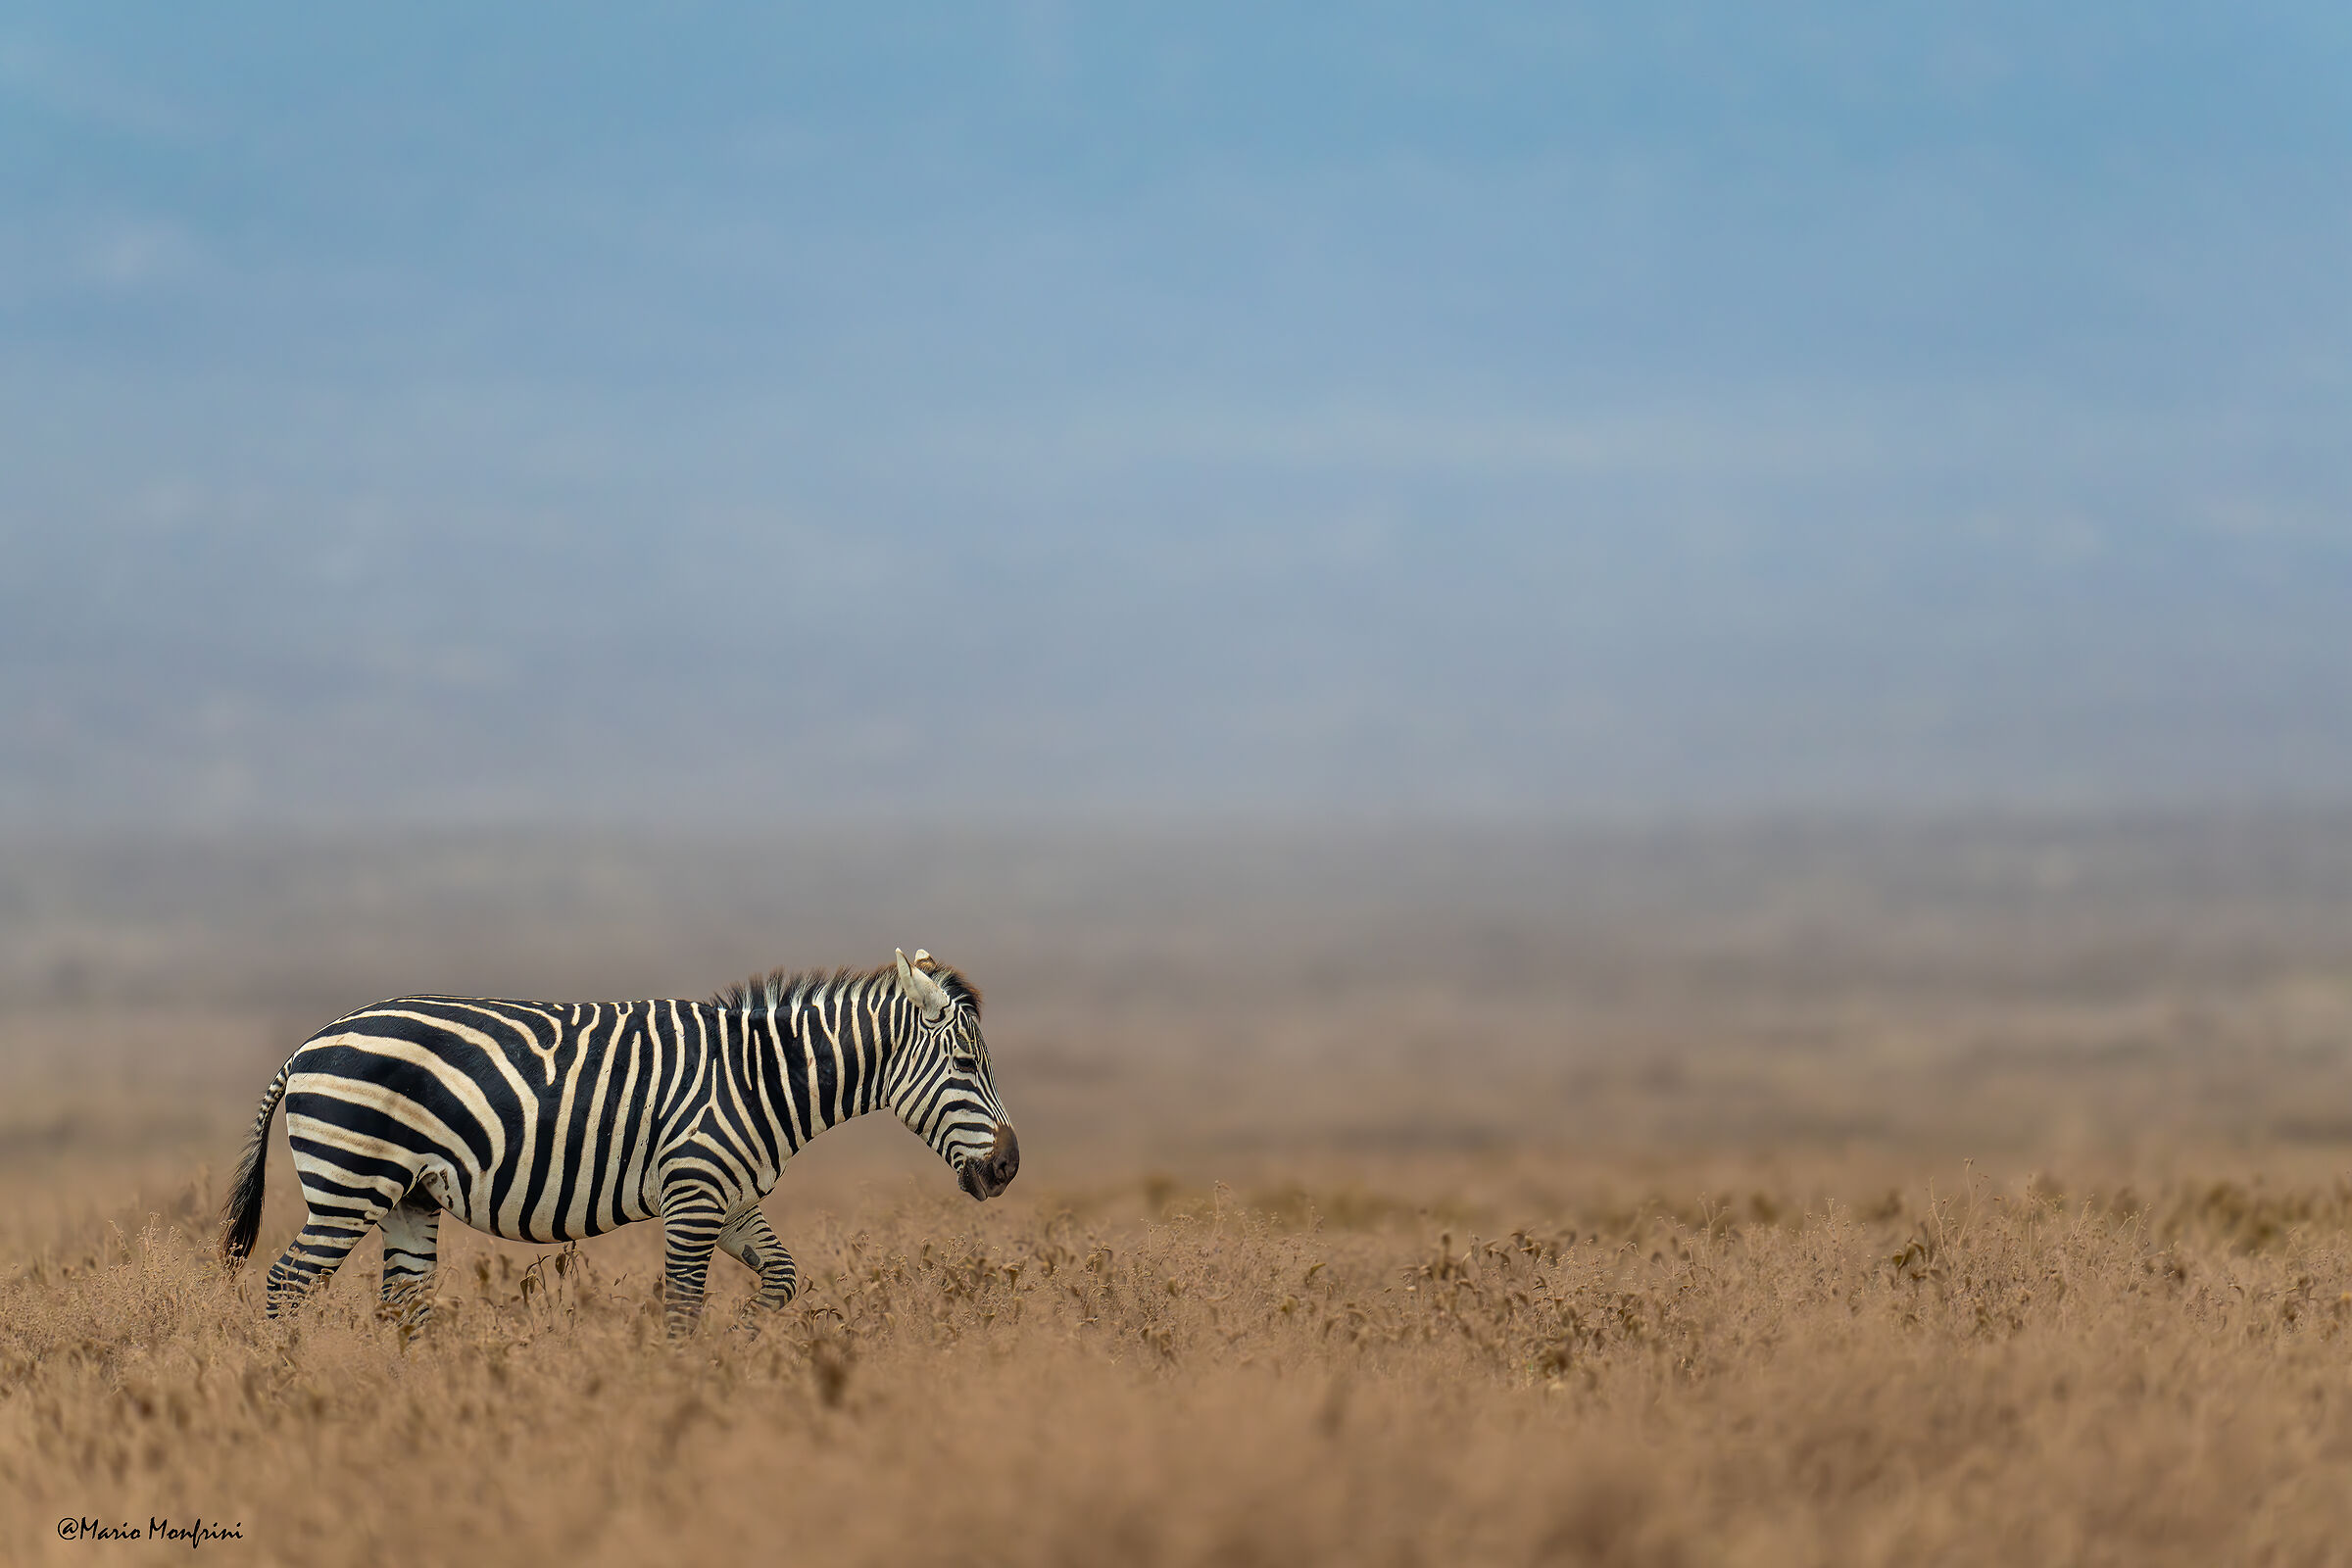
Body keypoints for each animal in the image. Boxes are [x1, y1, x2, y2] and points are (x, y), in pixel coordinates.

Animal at [218, 947, 1017, 1334]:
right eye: (964, 1064)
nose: (1009, 1166)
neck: (761, 1077)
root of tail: (309, 1044)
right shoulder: (693, 1198)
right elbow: (683, 1309)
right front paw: (682, 1389)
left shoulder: (730, 1200)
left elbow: (783, 1280)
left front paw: (738, 1349)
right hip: (349, 1186)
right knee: (286, 1285)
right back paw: (285, 1388)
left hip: (408, 1197)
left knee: (402, 1304)